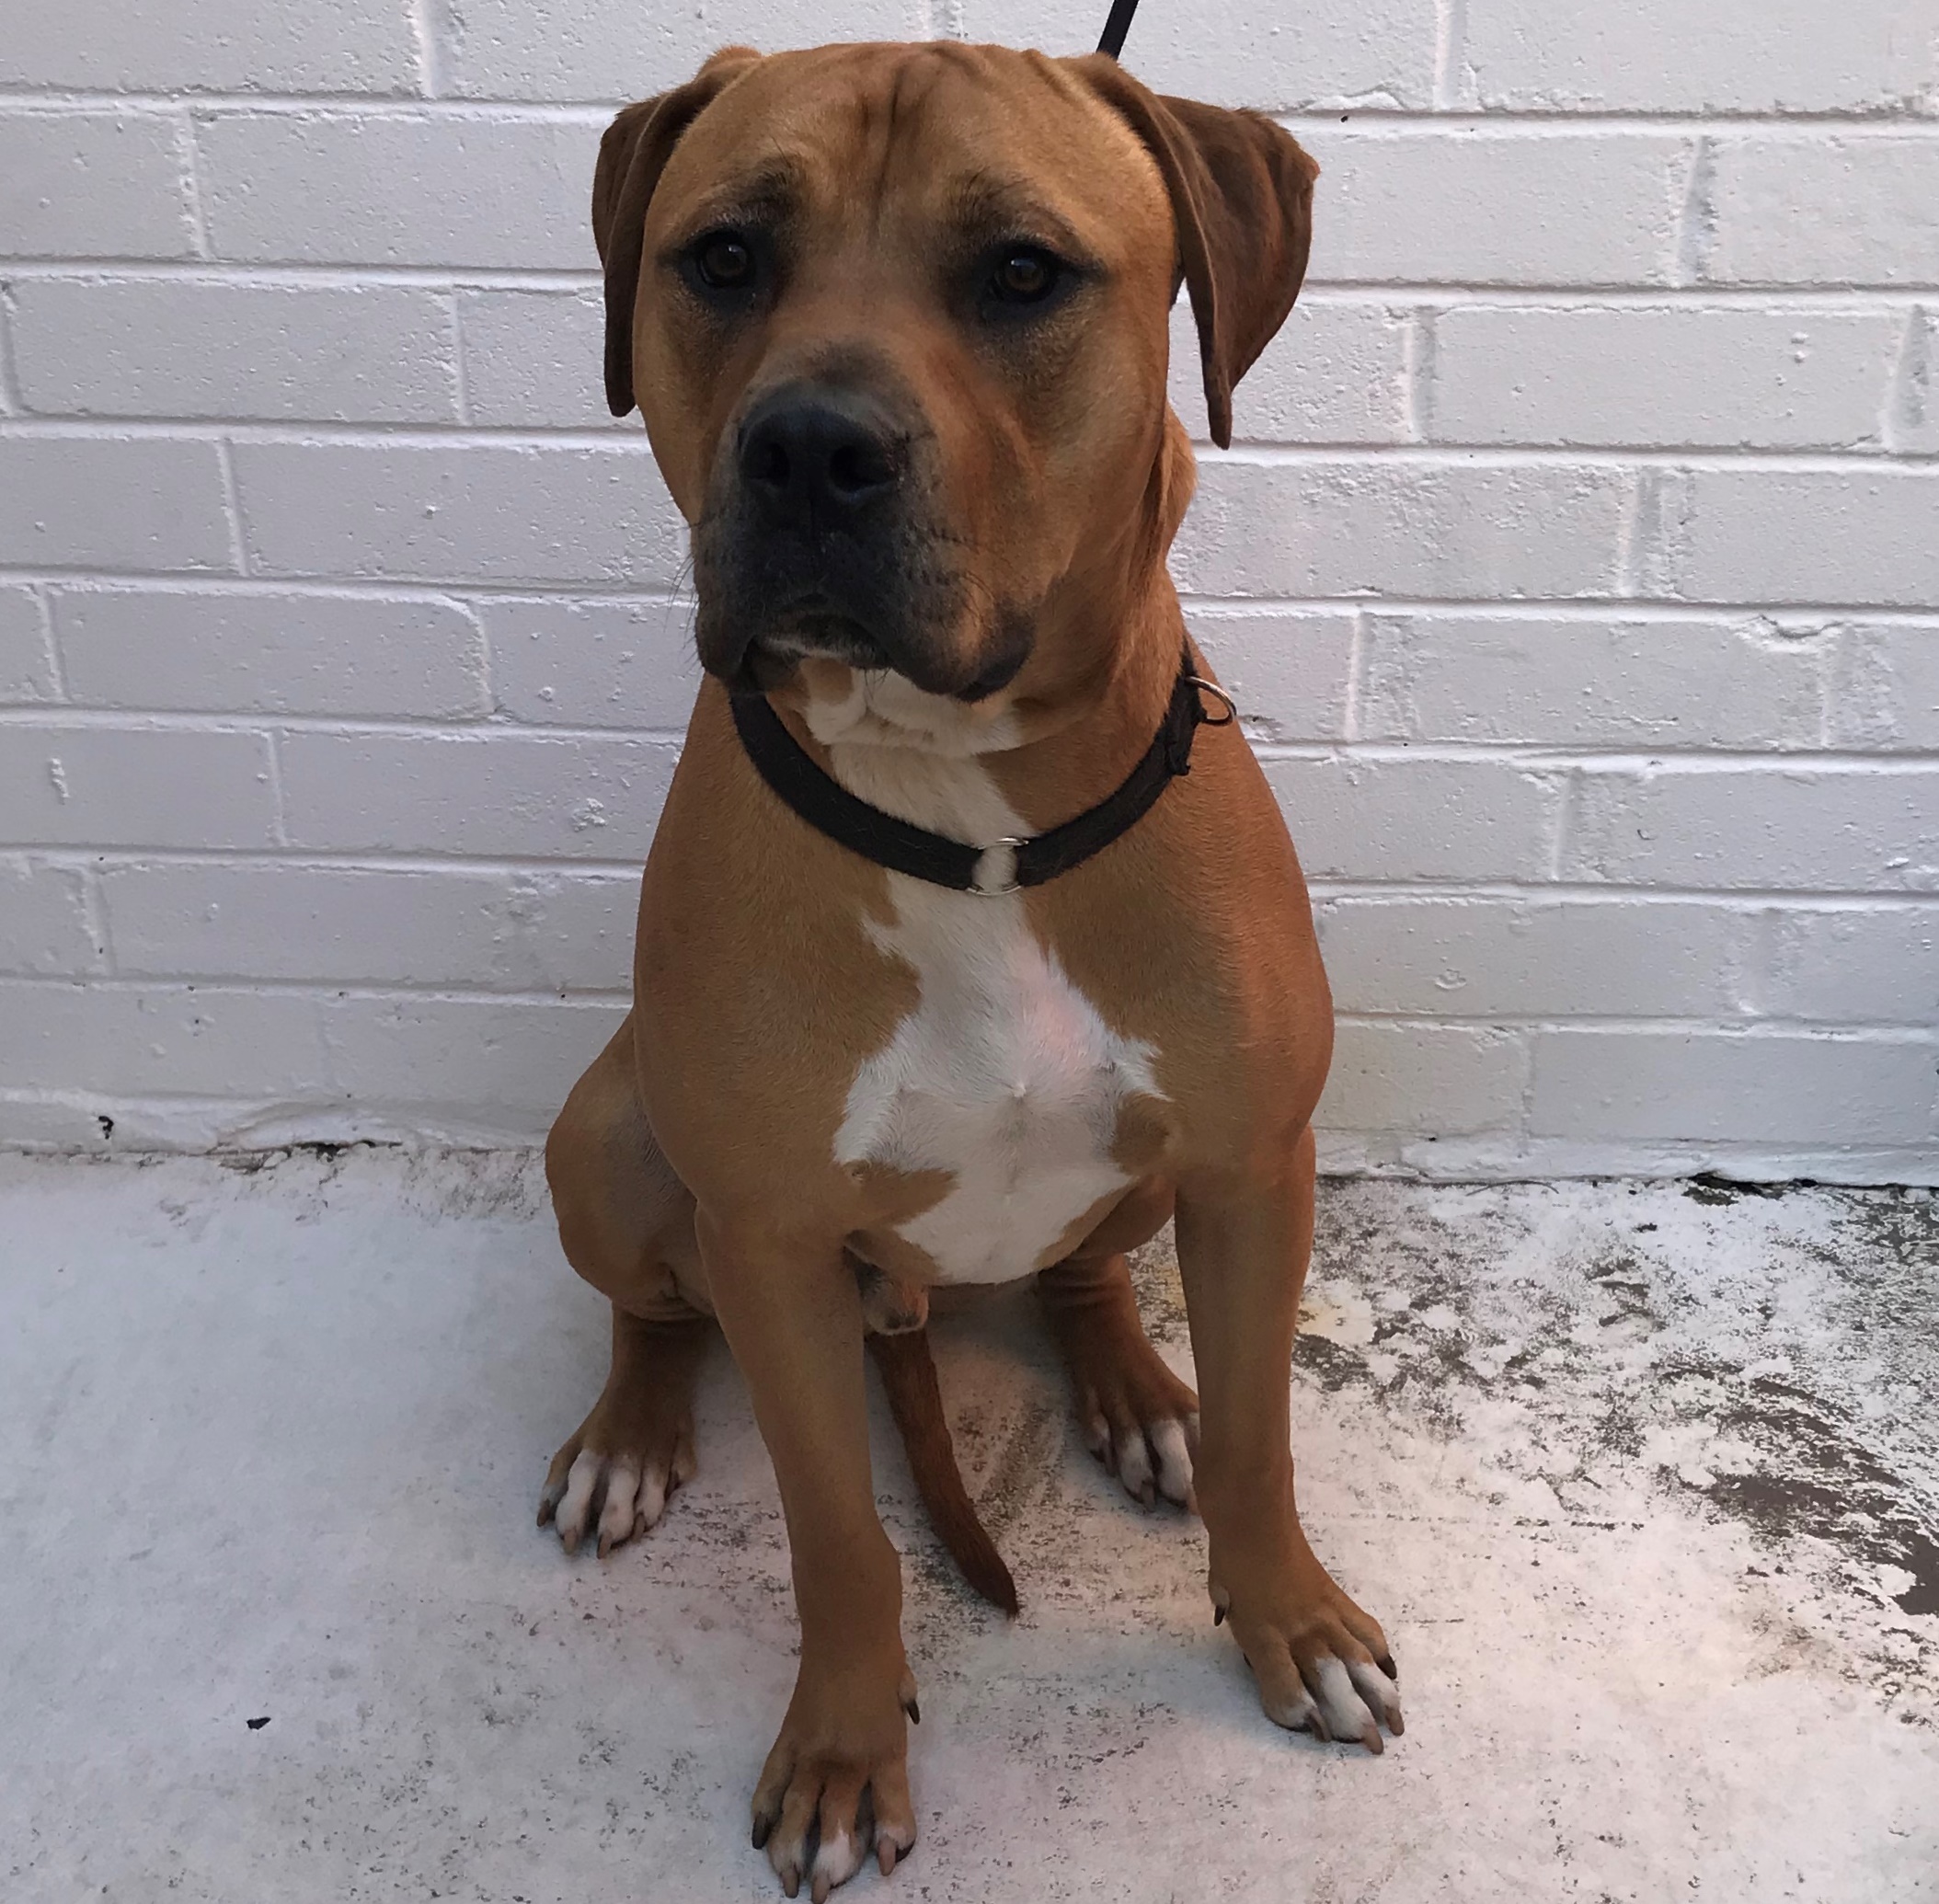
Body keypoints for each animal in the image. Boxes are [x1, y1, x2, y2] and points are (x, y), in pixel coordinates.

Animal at [538, 40, 1402, 1898]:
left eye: (1021, 273)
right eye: (723, 257)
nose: (809, 445)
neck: (965, 816)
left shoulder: (1256, 1165)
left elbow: (1261, 1438)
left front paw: (1288, 1619)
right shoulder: (773, 1237)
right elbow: (836, 1534)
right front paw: (845, 1749)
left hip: (1154, 1178)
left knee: (1088, 1274)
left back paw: (1134, 1391)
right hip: (606, 1138)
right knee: (651, 1301)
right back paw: (630, 1437)